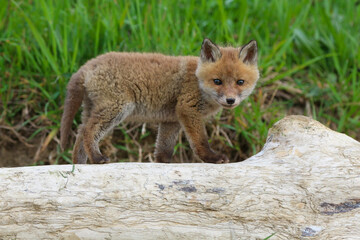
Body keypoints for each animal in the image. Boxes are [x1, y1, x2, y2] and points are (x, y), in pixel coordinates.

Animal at [61, 38, 258, 164]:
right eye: (217, 81)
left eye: (240, 82)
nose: (230, 100)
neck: (197, 81)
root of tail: (88, 64)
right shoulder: (188, 109)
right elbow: (200, 141)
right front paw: (212, 158)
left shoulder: (171, 119)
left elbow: (164, 147)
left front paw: (163, 163)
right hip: (117, 109)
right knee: (88, 131)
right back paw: (97, 158)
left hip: (93, 110)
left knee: (80, 133)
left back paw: (79, 165)